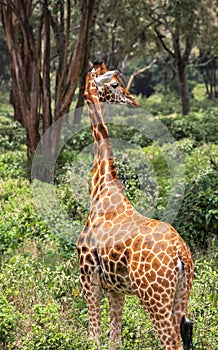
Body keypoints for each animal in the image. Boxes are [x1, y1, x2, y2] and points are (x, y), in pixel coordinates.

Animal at [77, 61, 194, 348]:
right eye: (115, 84)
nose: (133, 100)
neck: (102, 185)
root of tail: (181, 255)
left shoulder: (88, 276)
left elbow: (94, 337)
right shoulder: (115, 289)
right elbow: (115, 340)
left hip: (153, 296)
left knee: (171, 341)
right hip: (181, 294)